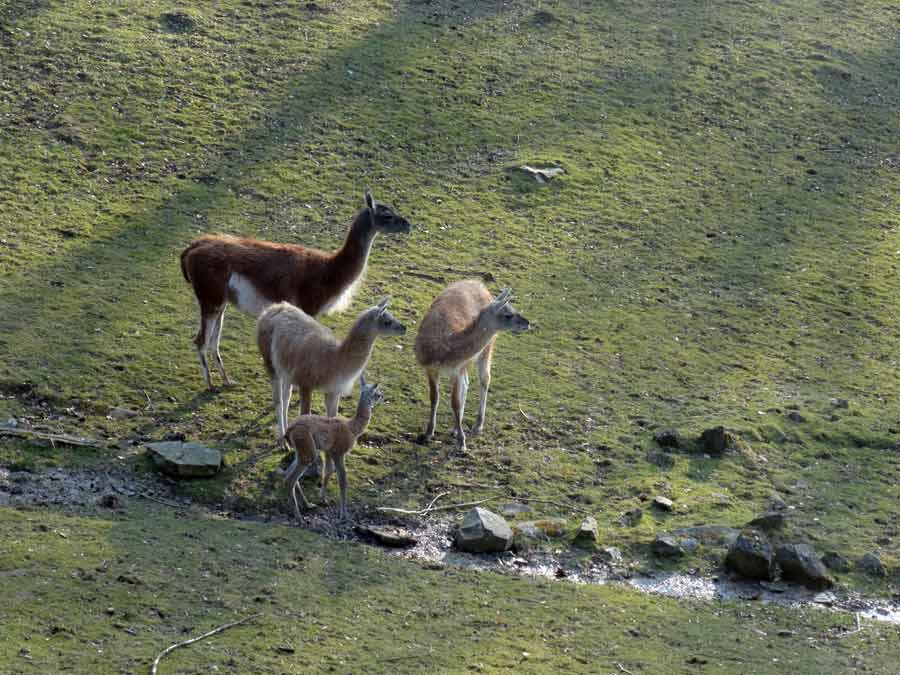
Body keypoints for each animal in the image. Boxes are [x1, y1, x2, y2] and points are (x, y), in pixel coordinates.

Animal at [179, 190, 412, 390]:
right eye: (387, 215)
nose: (408, 224)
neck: (329, 270)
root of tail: (192, 248)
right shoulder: (308, 308)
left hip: (221, 302)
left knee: (212, 343)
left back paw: (227, 381)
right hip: (210, 298)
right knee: (200, 341)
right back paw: (210, 385)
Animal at [280, 378, 382, 520]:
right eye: (377, 394)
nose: (383, 397)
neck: (352, 428)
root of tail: (289, 430)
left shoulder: (328, 450)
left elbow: (328, 471)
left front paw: (323, 499)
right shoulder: (338, 452)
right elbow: (343, 480)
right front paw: (344, 514)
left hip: (302, 450)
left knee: (288, 476)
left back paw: (307, 505)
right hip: (308, 450)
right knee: (290, 480)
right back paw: (299, 516)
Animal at [418, 282, 532, 452]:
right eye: (508, 314)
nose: (527, 323)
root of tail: (480, 285)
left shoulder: (456, 370)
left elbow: (455, 403)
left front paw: (461, 443)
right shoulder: (431, 369)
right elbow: (434, 398)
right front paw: (428, 433)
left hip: (488, 348)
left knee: (485, 379)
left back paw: (477, 426)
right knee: (467, 384)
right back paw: (455, 428)